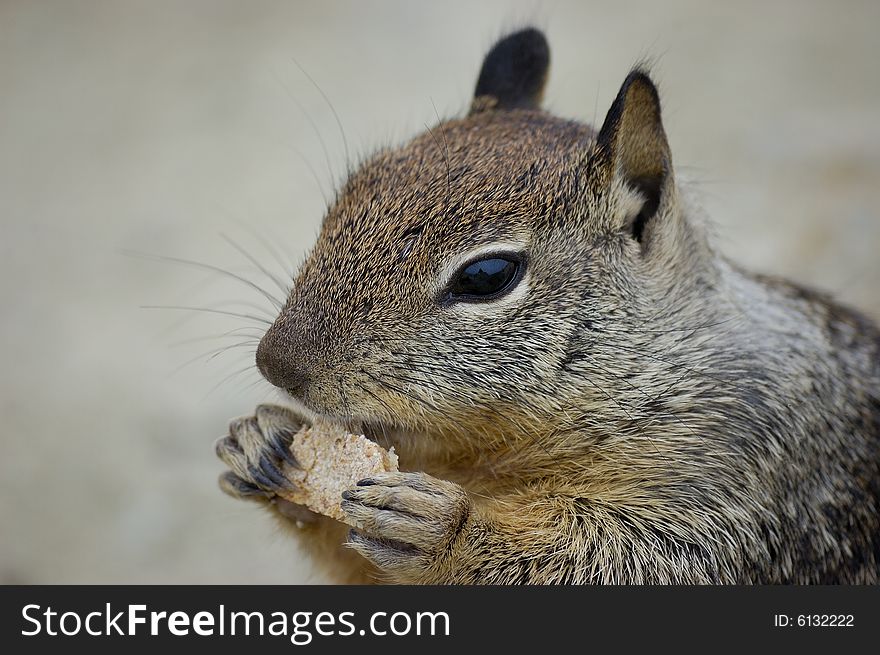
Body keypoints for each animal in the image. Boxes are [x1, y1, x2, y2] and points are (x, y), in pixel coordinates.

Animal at [215, 29, 880, 584]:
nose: (275, 365)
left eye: (487, 276)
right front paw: (264, 438)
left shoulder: (745, 486)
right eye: (345, 196)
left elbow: (626, 565)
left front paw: (446, 532)